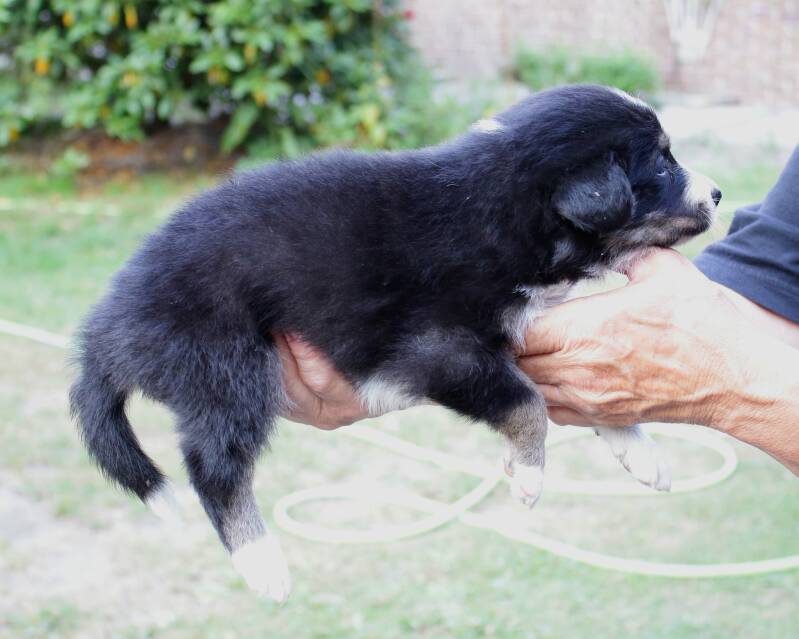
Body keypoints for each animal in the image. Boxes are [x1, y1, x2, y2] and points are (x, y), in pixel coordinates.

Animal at [70, 84, 721, 601]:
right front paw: (529, 475)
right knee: (215, 467)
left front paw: (641, 454)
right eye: (661, 164)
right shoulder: (440, 347)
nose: (717, 194)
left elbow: (589, 397)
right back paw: (261, 562)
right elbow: (525, 403)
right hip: (225, 363)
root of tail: (106, 329)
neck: (506, 208)